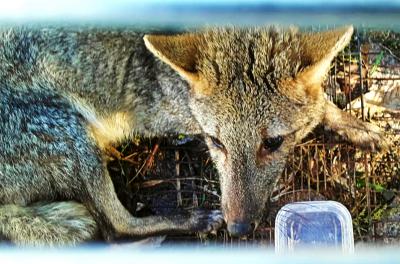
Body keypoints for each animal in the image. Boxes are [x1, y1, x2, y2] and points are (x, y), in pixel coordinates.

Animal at [0, 25, 386, 245]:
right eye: (216, 142)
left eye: (273, 142)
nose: (239, 229)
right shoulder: (167, 114)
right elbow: (319, 106)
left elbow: (322, 104)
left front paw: (356, 126)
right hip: (72, 133)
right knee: (114, 227)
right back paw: (192, 218)